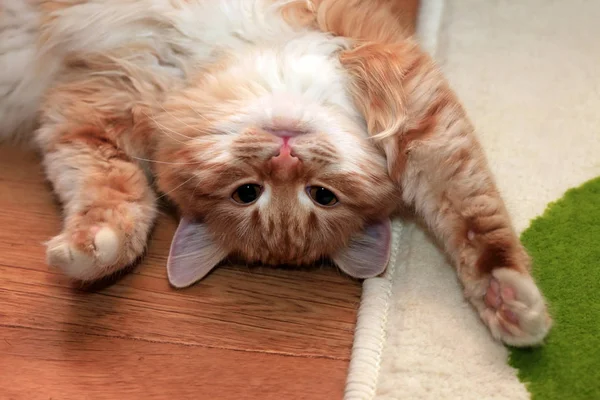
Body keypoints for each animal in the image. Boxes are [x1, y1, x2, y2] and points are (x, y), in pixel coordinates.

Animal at [0, 0, 552, 346]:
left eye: (321, 195)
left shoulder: (417, 107)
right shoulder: (90, 109)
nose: (285, 155)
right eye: (248, 192)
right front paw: (95, 252)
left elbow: (473, 214)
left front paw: (507, 298)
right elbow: (109, 194)